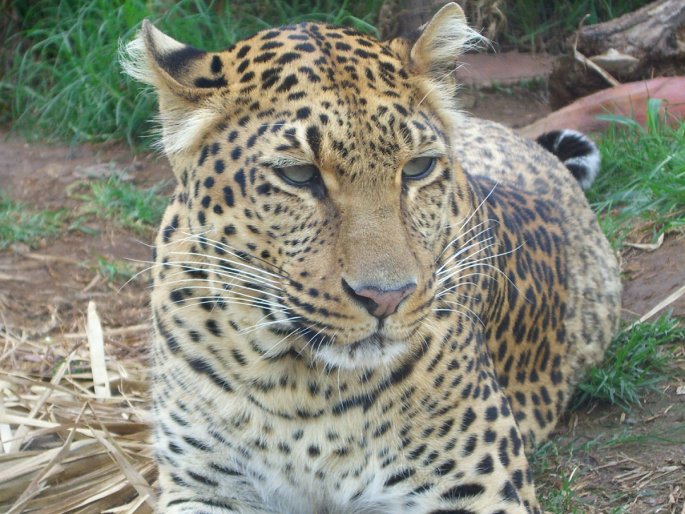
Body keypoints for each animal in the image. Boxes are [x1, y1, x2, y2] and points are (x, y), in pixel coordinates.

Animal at [122, 4, 621, 513]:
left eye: (418, 167)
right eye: (298, 175)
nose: (386, 298)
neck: (300, 394)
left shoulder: (484, 491)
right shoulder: (202, 485)